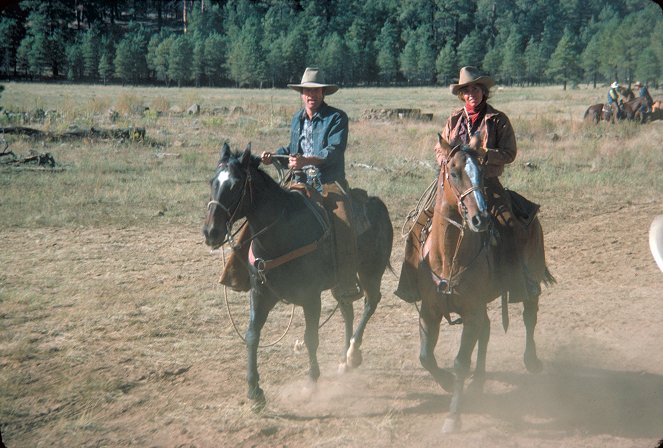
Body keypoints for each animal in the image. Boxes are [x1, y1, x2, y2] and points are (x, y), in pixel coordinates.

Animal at [202, 144, 394, 410]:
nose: (211, 232)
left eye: (236, 184)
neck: (282, 231)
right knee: (347, 309)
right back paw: (344, 360)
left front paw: (311, 382)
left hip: (370, 271)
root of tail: (379, 205)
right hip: (342, 281)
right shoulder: (260, 293)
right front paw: (254, 391)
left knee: (370, 302)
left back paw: (353, 352)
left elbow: (310, 337)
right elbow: (252, 336)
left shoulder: (311, 297)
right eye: (213, 181)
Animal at [416, 135, 556, 432]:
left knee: (529, 315)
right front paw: (446, 382)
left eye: (481, 171)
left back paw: (531, 360)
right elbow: (425, 357)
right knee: (488, 331)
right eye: (453, 172)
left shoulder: (471, 312)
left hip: (531, 279)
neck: (448, 257)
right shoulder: (429, 311)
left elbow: (461, 361)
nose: (480, 218)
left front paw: (453, 417)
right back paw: (479, 381)